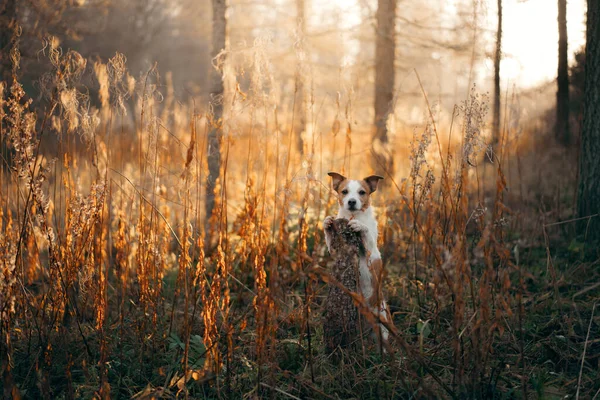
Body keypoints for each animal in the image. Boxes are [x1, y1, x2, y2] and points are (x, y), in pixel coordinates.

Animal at [322, 171, 392, 350]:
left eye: (362, 192)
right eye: (344, 191)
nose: (352, 201)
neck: (353, 216)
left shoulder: (371, 251)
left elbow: (366, 234)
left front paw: (360, 226)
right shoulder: (334, 249)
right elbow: (329, 237)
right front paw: (326, 223)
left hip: (382, 323)